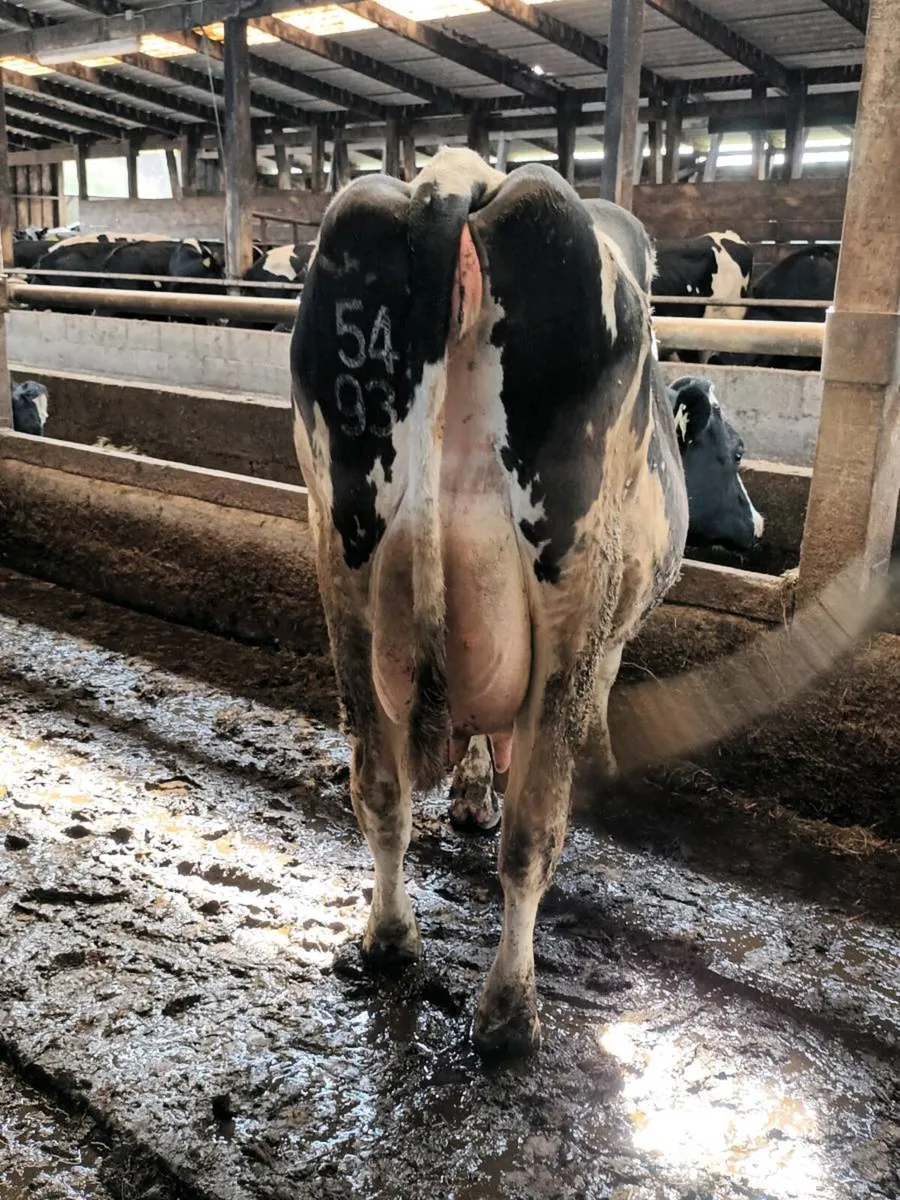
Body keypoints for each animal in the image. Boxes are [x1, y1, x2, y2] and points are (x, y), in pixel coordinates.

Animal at [291, 147, 693, 1056]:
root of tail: (455, 178)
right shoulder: (606, 633)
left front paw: (470, 794)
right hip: (572, 573)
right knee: (533, 833)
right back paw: (510, 1015)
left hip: (342, 555)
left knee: (379, 788)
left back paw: (388, 941)